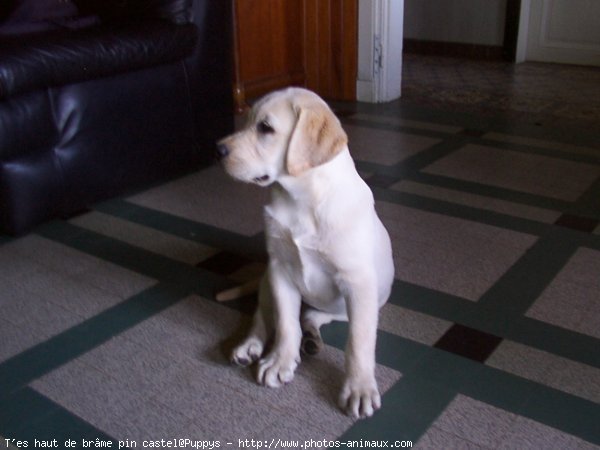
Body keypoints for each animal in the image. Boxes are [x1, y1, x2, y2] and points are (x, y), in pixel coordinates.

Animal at [216, 88, 394, 418]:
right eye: (246, 121)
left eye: (265, 128)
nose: (217, 150)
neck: (302, 198)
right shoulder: (279, 269)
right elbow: (286, 324)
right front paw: (279, 361)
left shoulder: (358, 283)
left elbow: (359, 341)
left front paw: (359, 387)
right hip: (266, 279)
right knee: (263, 315)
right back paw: (250, 345)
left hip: (348, 304)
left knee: (312, 314)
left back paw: (311, 337)